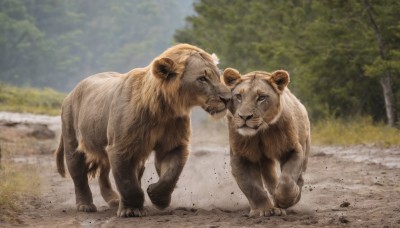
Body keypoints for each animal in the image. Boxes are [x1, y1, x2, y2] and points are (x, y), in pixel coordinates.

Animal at [55, 44, 231, 217]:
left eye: (218, 75)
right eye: (202, 79)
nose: (227, 99)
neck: (164, 110)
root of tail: (72, 92)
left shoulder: (173, 143)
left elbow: (170, 174)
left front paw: (157, 196)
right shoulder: (121, 147)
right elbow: (127, 182)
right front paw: (131, 209)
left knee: (105, 173)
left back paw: (113, 200)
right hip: (71, 135)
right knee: (78, 174)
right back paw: (86, 205)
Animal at [223, 68, 310, 217]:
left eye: (261, 97)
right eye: (239, 96)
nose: (244, 117)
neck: (261, 133)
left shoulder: (293, 149)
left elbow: (287, 180)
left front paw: (285, 200)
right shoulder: (241, 156)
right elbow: (251, 186)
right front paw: (263, 210)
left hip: (305, 143)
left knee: (298, 174)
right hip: (264, 160)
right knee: (270, 180)